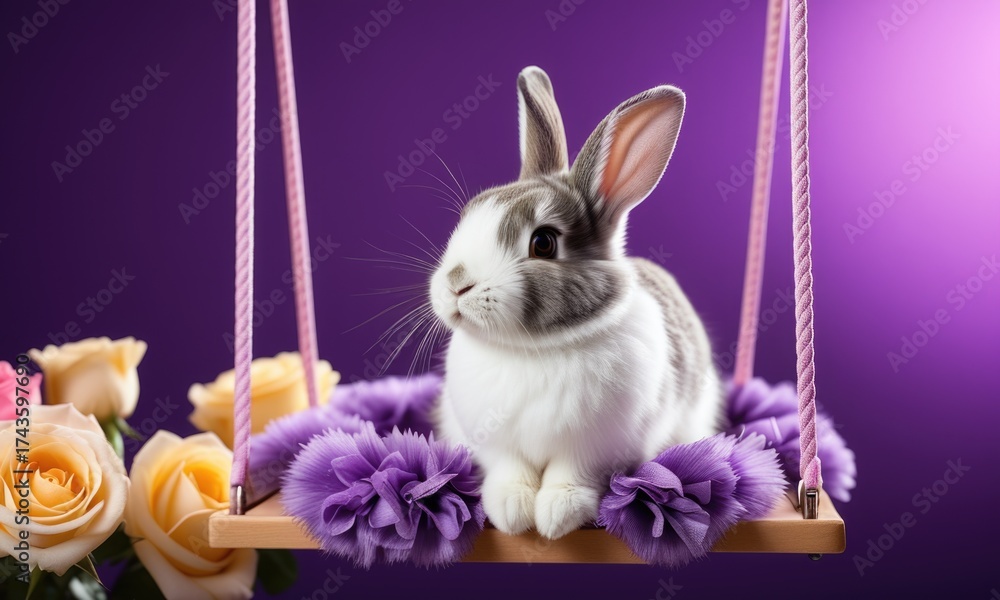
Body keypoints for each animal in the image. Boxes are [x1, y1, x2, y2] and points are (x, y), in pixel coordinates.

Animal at [429, 66, 722, 540]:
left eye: (544, 243)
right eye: (470, 213)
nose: (456, 285)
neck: (532, 349)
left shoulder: (595, 448)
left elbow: (573, 476)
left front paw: (558, 515)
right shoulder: (497, 443)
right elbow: (509, 471)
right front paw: (511, 511)